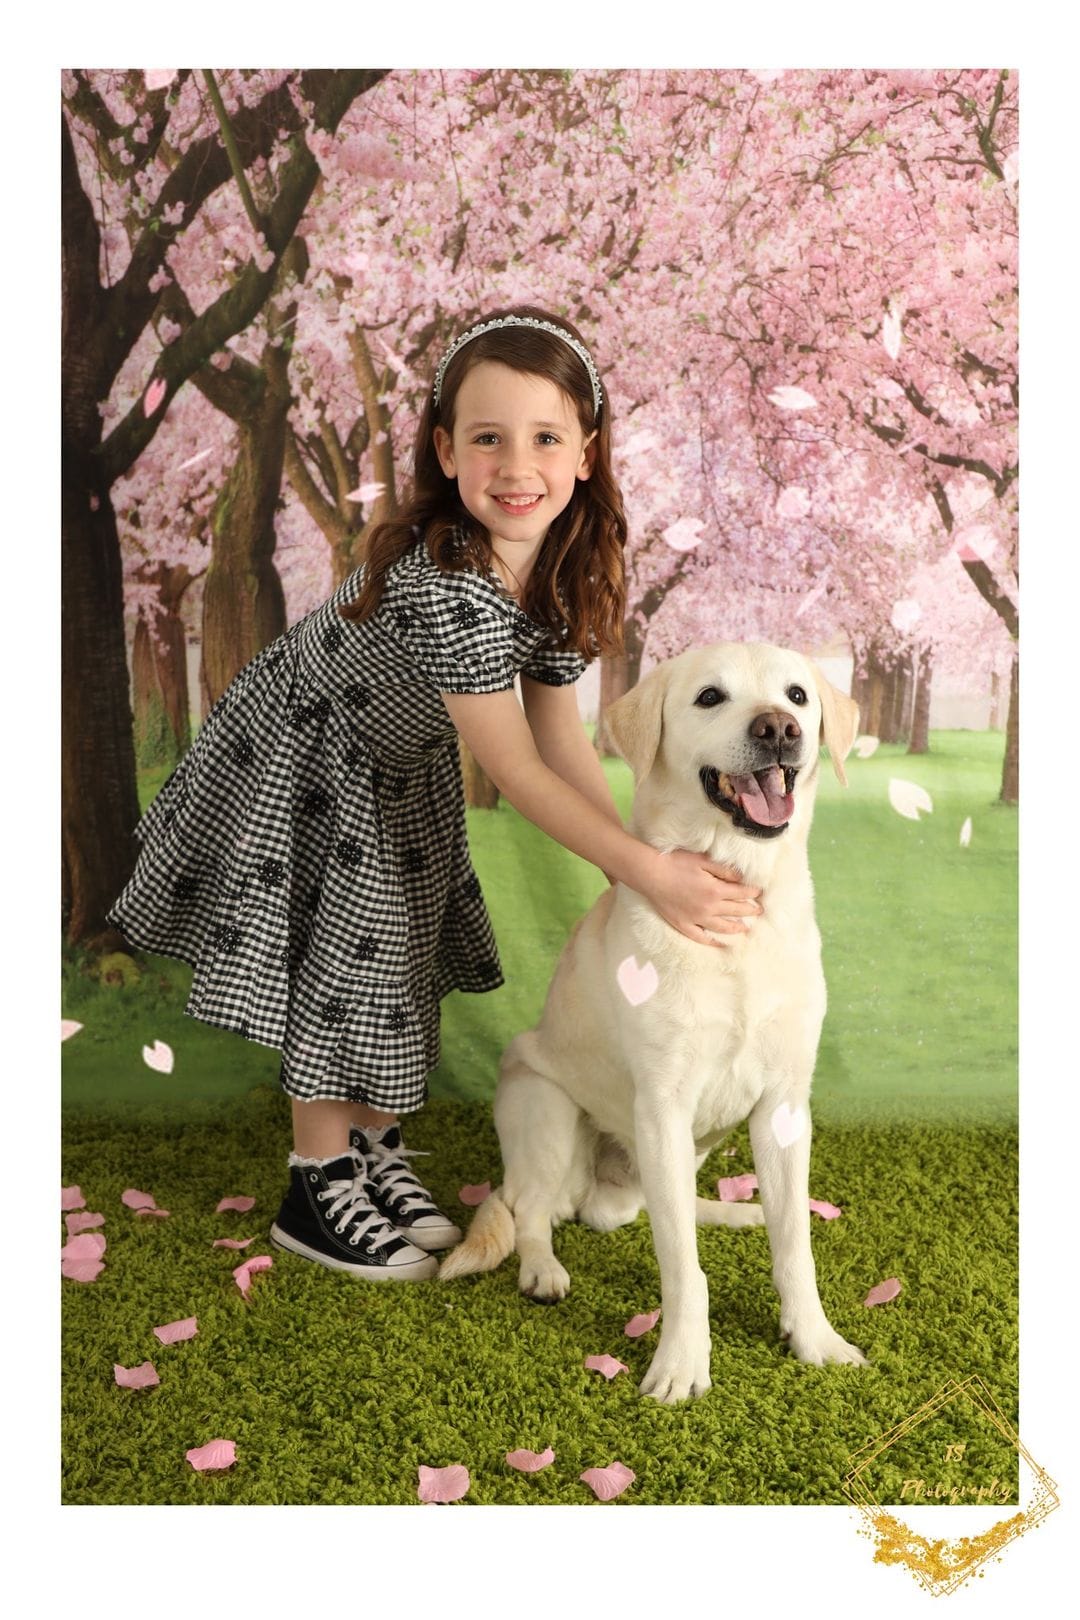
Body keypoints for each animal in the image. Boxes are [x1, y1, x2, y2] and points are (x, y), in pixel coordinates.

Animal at [440, 638, 867, 1399]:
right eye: (709, 697)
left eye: (796, 696)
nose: (779, 730)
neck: (740, 908)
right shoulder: (663, 1106)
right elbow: (683, 1269)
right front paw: (680, 1366)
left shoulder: (785, 1106)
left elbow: (795, 1246)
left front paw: (814, 1338)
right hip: (548, 1112)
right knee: (529, 1213)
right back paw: (542, 1270)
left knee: (657, 1207)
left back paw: (738, 1209)